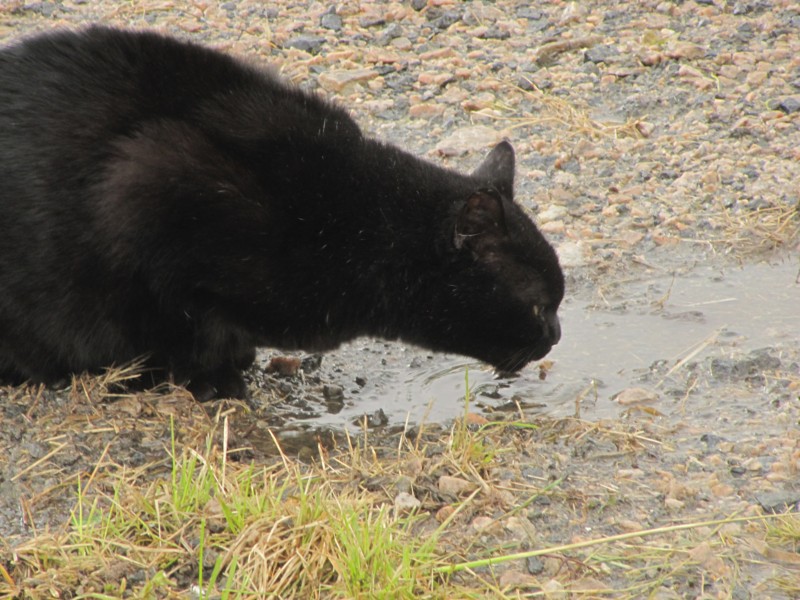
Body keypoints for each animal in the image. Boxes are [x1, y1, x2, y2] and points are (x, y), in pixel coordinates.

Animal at [0, 25, 564, 400]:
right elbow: (191, 328)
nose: (557, 335)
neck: (360, 226)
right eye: (540, 306)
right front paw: (217, 382)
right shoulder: (148, 184)